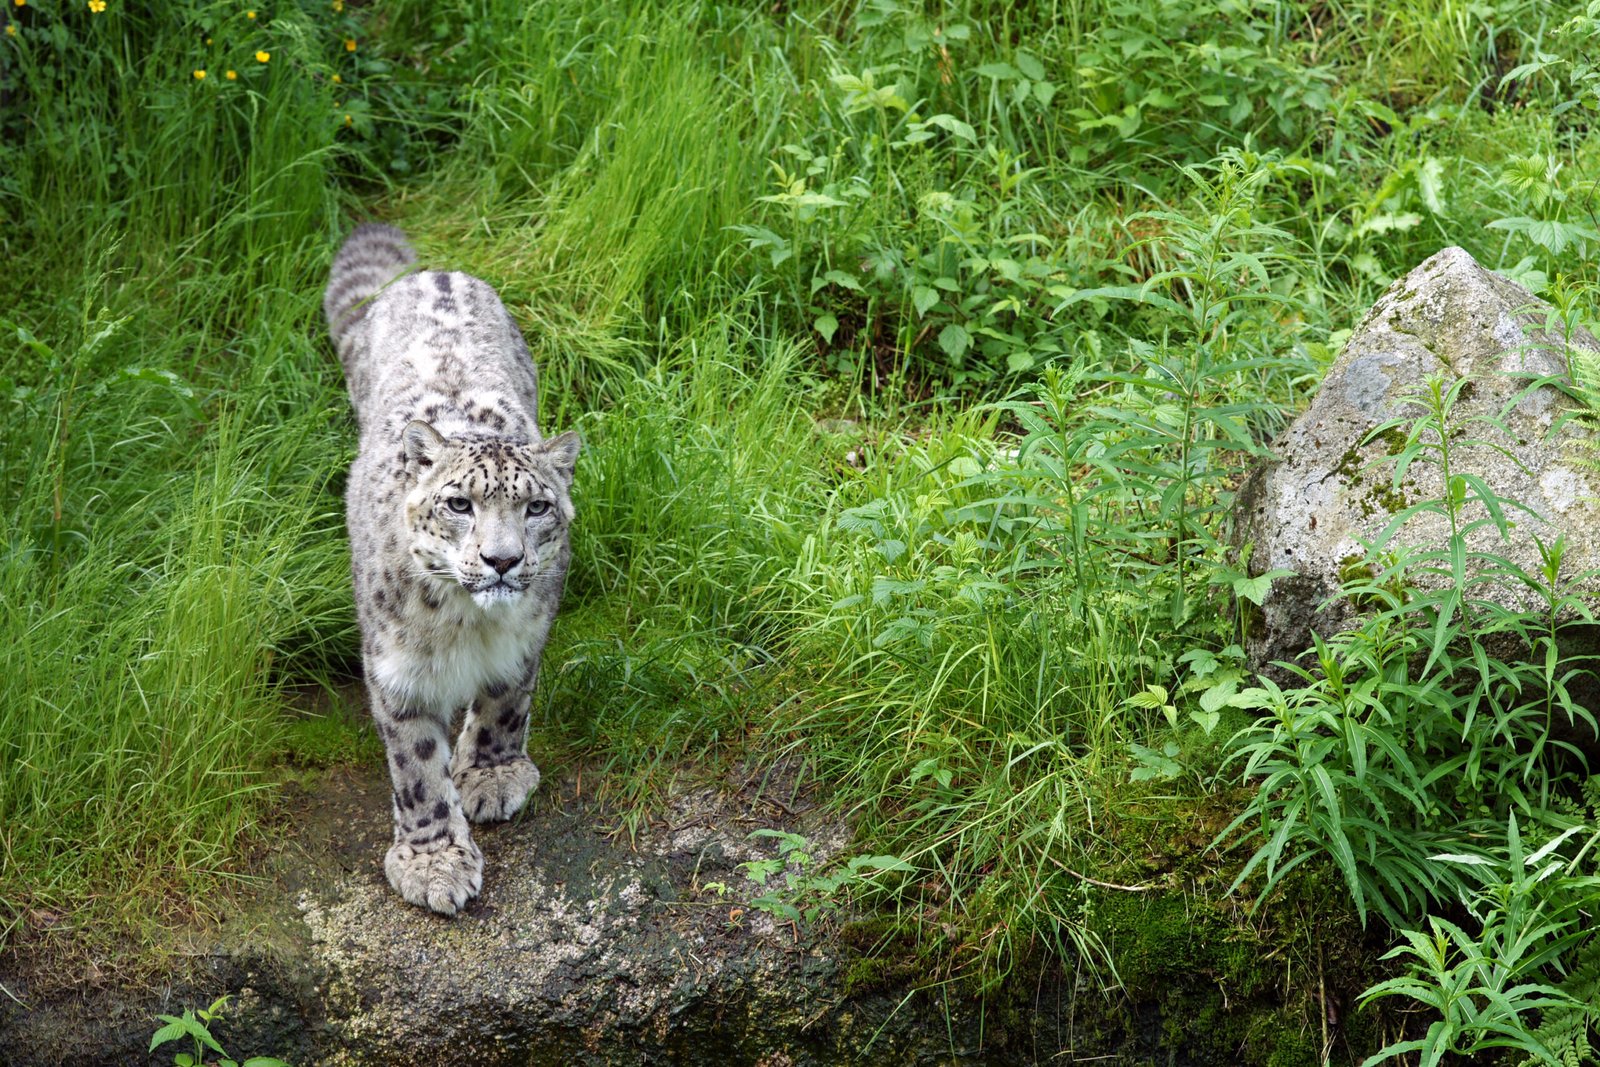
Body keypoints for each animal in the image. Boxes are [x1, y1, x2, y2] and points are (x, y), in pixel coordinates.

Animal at [324, 223, 579, 915]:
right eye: (459, 503)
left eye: (537, 506)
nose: (502, 560)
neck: (469, 625)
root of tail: (430, 273)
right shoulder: (398, 670)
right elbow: (416, 768)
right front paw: (434, 863)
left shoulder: (526, 637)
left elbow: (507, 701)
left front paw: (491, 776)